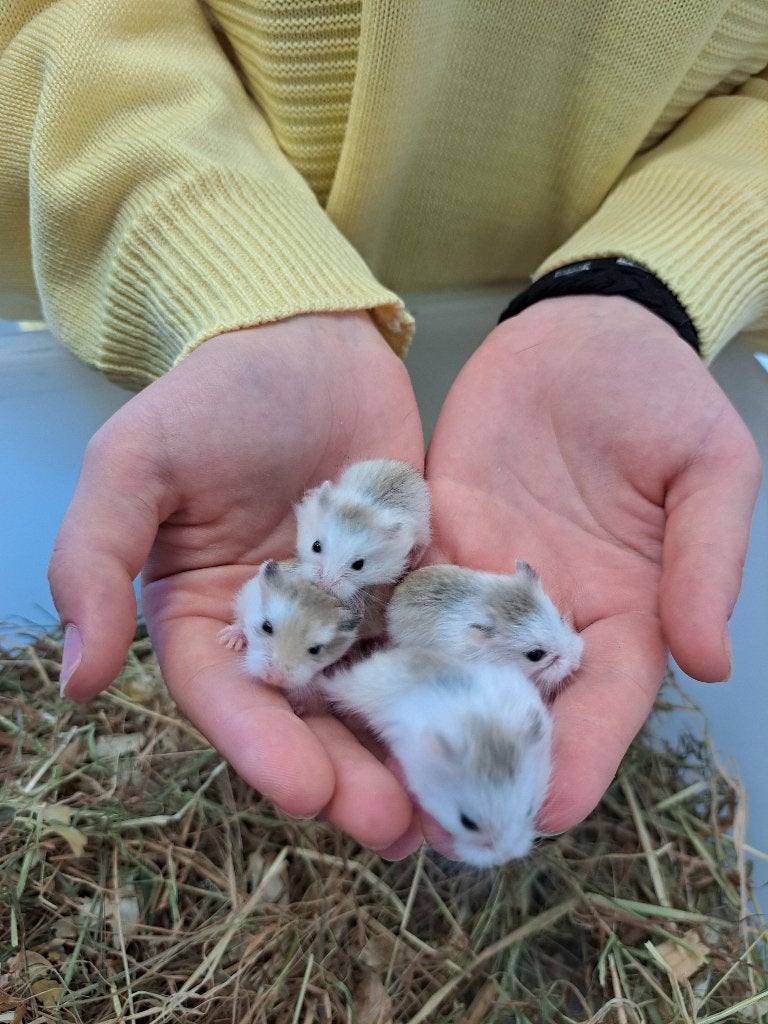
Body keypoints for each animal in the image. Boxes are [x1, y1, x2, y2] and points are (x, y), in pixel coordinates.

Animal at [217, 559, 363, 695]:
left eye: (315, 649)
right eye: (266, 626)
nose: (274, 679)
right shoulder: (246, 595)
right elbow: (241, 621)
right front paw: (228, 640)